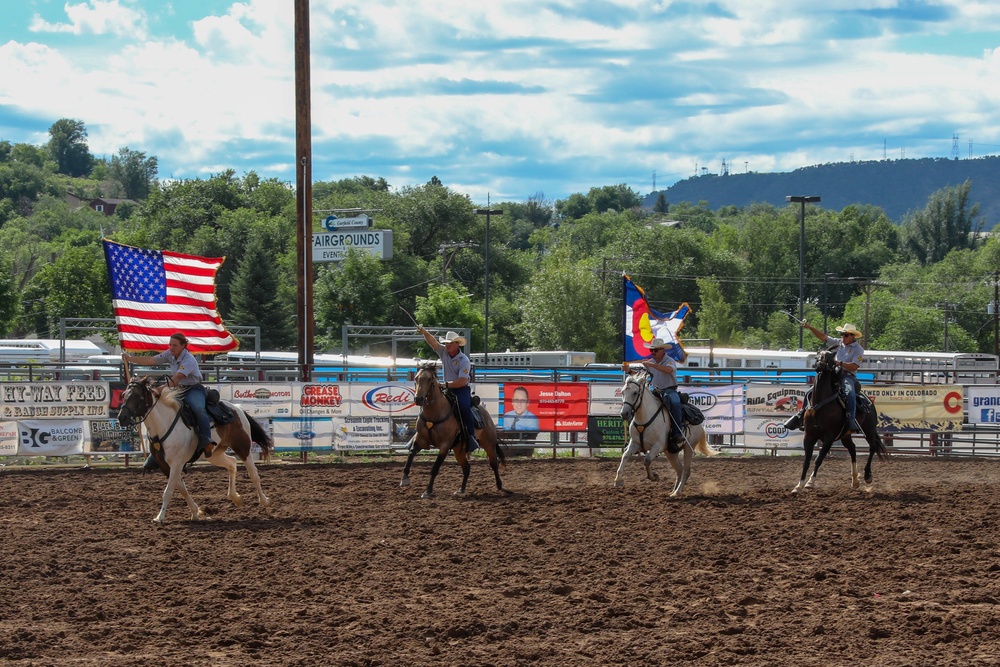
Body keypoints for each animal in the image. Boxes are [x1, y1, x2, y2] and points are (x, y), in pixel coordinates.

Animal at [117, 378, 274, 524]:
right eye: (124, 395)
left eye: (138, 396)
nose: (121, 417)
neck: (164, 425)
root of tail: (237, 408)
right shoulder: (165, 466)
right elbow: (182, 488)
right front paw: (195, 512)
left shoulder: (177, 463)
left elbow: (168, 491)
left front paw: (160, 517)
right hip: (213, 454)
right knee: (232, 463)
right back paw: (236, 498)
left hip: (243, 446)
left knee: (253, 474)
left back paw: (265, 501)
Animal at [400, 362, 508, 498]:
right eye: (416, 378)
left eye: (429, 379)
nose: (418, 399)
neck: (434, 414)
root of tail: (486, 414)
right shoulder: (421, 440)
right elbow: (411, 454)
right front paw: (404, 478)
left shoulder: (444, 446)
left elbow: (435, 468)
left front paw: (428, 491)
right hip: (459, 450)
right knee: (466, 468)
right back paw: (461, 489)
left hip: (489, 444)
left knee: (493, 464)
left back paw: (499, 485)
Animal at [792, 348, 888, 494]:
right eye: (818, 356)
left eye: (830, 357)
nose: (820, 365)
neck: (820, 404)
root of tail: (868, 401)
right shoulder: (809, 436)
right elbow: (806, 461)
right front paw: (799, 485)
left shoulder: (829, 437)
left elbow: (819, 459)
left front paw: (810, 482)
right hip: (845, 435)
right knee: (853, 449)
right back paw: (855, 481)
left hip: (869, 429)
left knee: (872, 447)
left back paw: (867, 476)